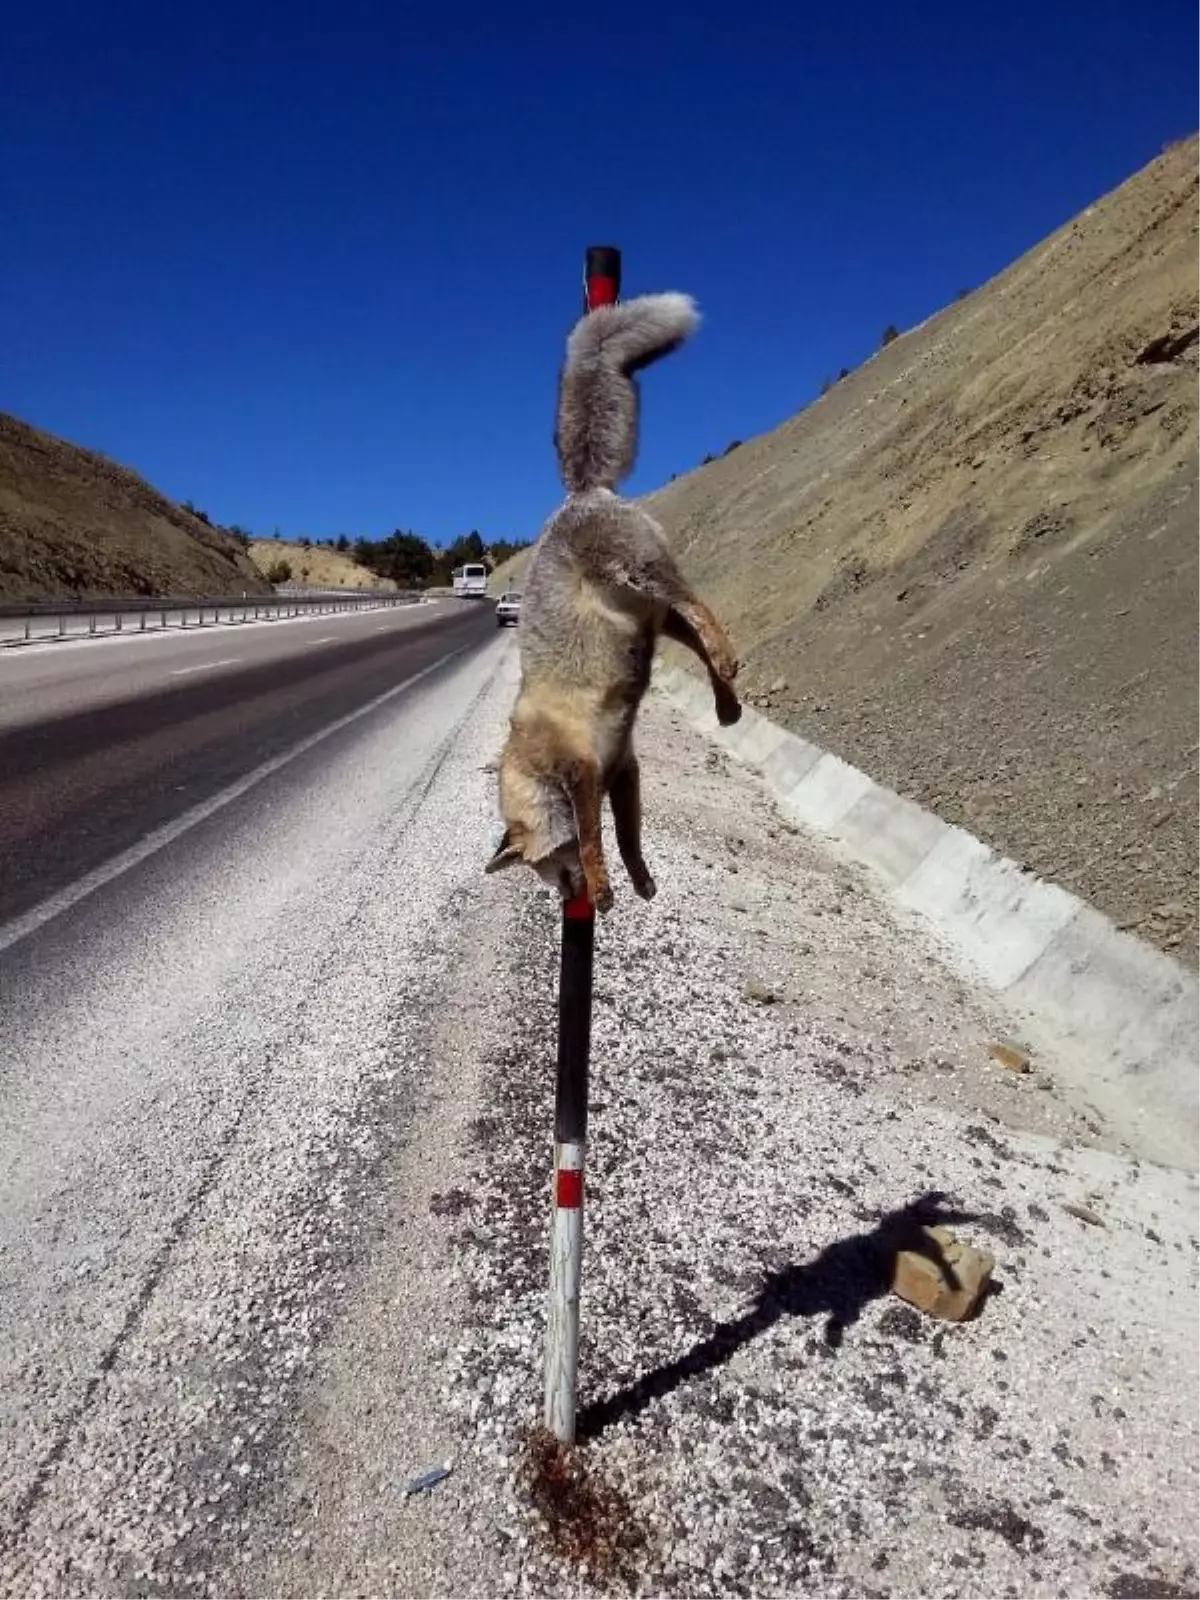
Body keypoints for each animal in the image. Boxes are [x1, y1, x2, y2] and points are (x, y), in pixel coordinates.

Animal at [489, 291, 742, 915]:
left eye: (549, 871)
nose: (567, 897)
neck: (532, 757)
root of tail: (581, 490)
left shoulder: (583, 769)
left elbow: (591, 834)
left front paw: (603, 885)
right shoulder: (623, 769)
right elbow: (627, 835)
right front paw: (640, 879)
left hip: (642, 574)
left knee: (698, 603)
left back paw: (726, 659)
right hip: (653, 623)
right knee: (693, 637)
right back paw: (726, 703)